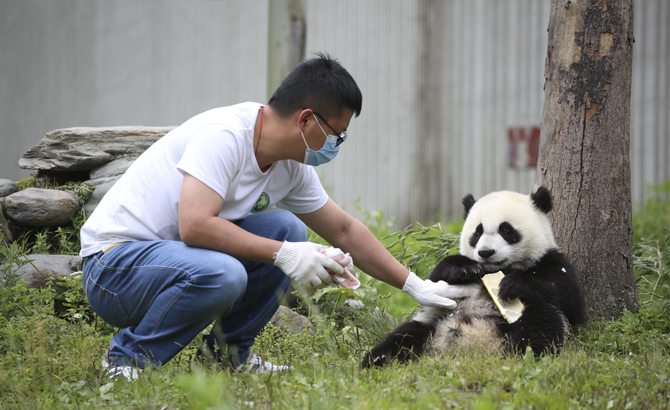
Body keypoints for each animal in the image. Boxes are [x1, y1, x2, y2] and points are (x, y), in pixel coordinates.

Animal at [362, 187, 588, 368]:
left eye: (505, 229)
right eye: (477, 232)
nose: (486, 252)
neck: (497, 270)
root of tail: (478, 345)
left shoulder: (551, 260)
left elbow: (569, 299)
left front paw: (513, 284)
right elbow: (436, 278)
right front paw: (465, 268)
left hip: (521, 320)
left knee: (541, 323)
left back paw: (521, 356)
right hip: (432, 322)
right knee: (403, 337)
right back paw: (376, 360)